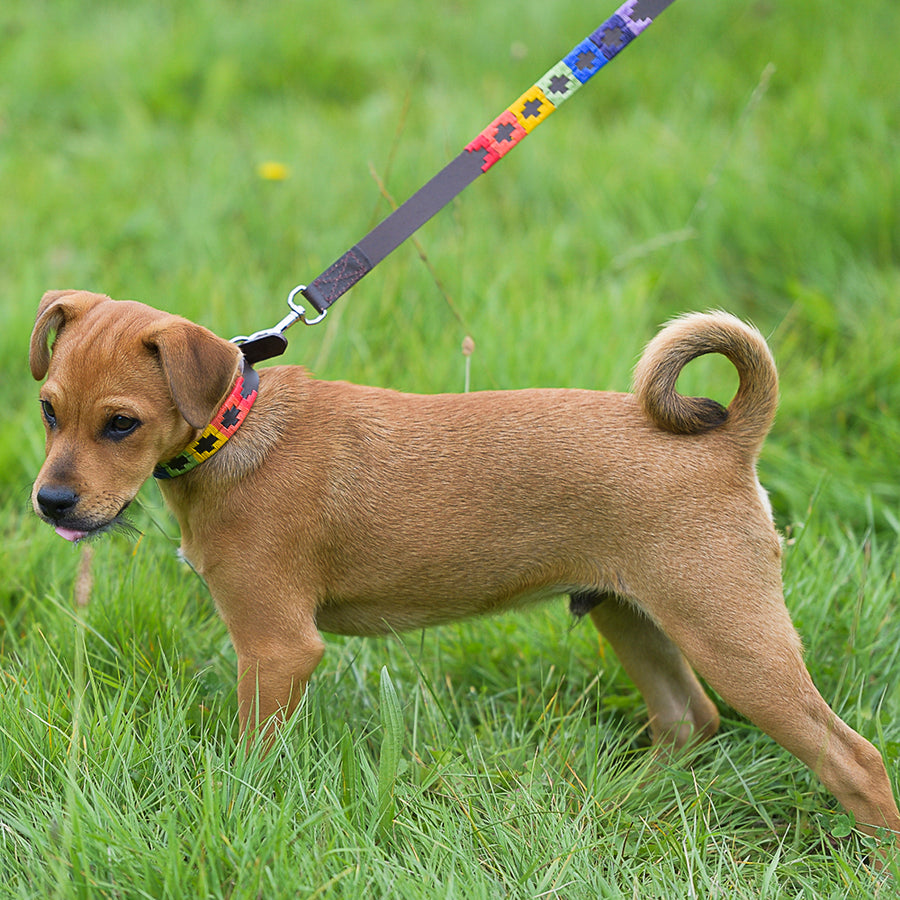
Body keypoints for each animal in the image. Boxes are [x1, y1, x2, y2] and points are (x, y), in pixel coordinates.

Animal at [29, 290, 900, 844]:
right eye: (47, 409)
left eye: (121, 424)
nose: (50, 502)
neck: (234, 430)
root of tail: (728, 442)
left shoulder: (276, 650)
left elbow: (251, 759)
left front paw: (238, 814)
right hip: (632, 616)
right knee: (690, 719)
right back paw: (623, 802)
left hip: (734, 637)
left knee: (854, 760)